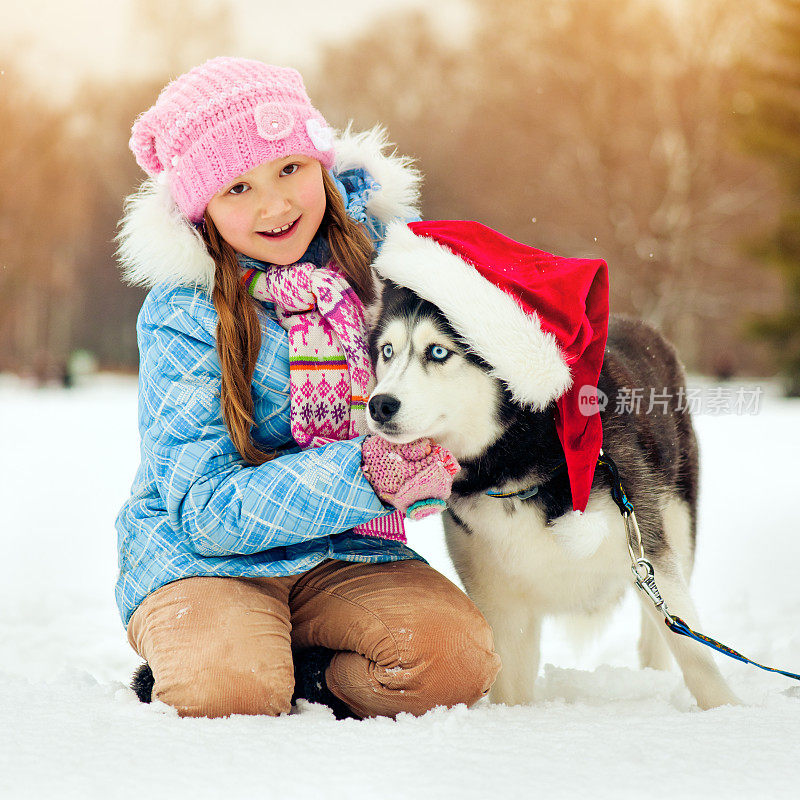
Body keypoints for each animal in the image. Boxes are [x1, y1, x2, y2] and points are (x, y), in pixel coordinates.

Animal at [366, 280, 740, 708]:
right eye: (387, 351)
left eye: (439, 352)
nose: (379, 405)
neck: (514, 468)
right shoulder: (498, 598)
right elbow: (510, 683)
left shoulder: (645, 555)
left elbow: (694, 653)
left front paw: (729, 712)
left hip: (672, 528)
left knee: (657, 634)